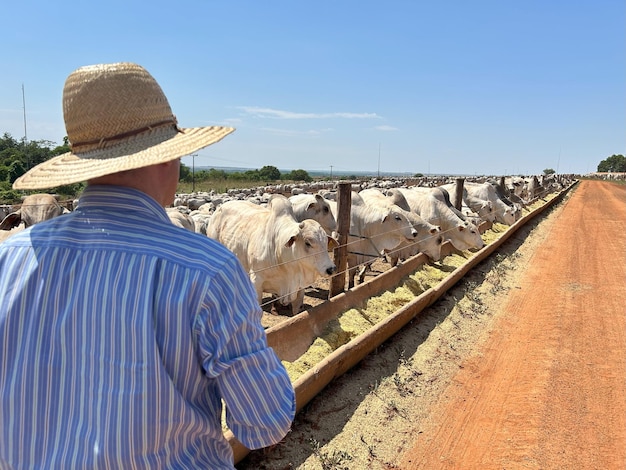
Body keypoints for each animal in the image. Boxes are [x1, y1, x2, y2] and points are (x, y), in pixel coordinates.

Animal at [205, 193, 336, 314]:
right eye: (308, 243)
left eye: (325, 242)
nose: (331, 269)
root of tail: (218, 210)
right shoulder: (256, 282)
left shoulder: (299, 288)